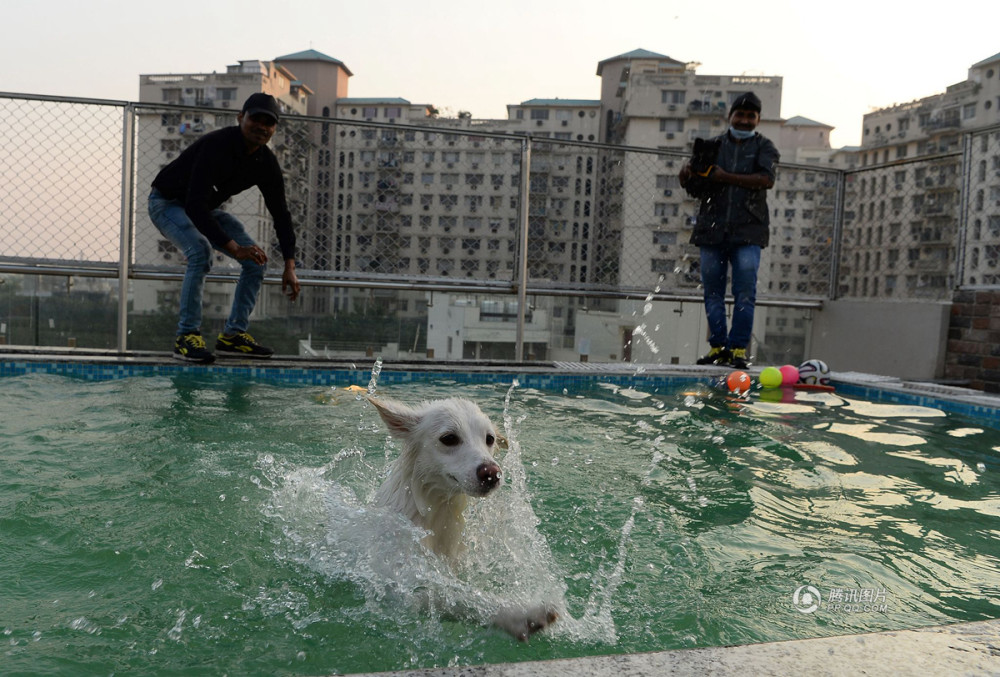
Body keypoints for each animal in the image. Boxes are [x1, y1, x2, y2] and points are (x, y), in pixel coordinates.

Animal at [368, 396, 560, 640]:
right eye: (449, 438)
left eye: (490, 439)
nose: (492, 473)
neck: (436, 514)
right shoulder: (400, 586)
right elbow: (458, 598)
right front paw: (521, 614)